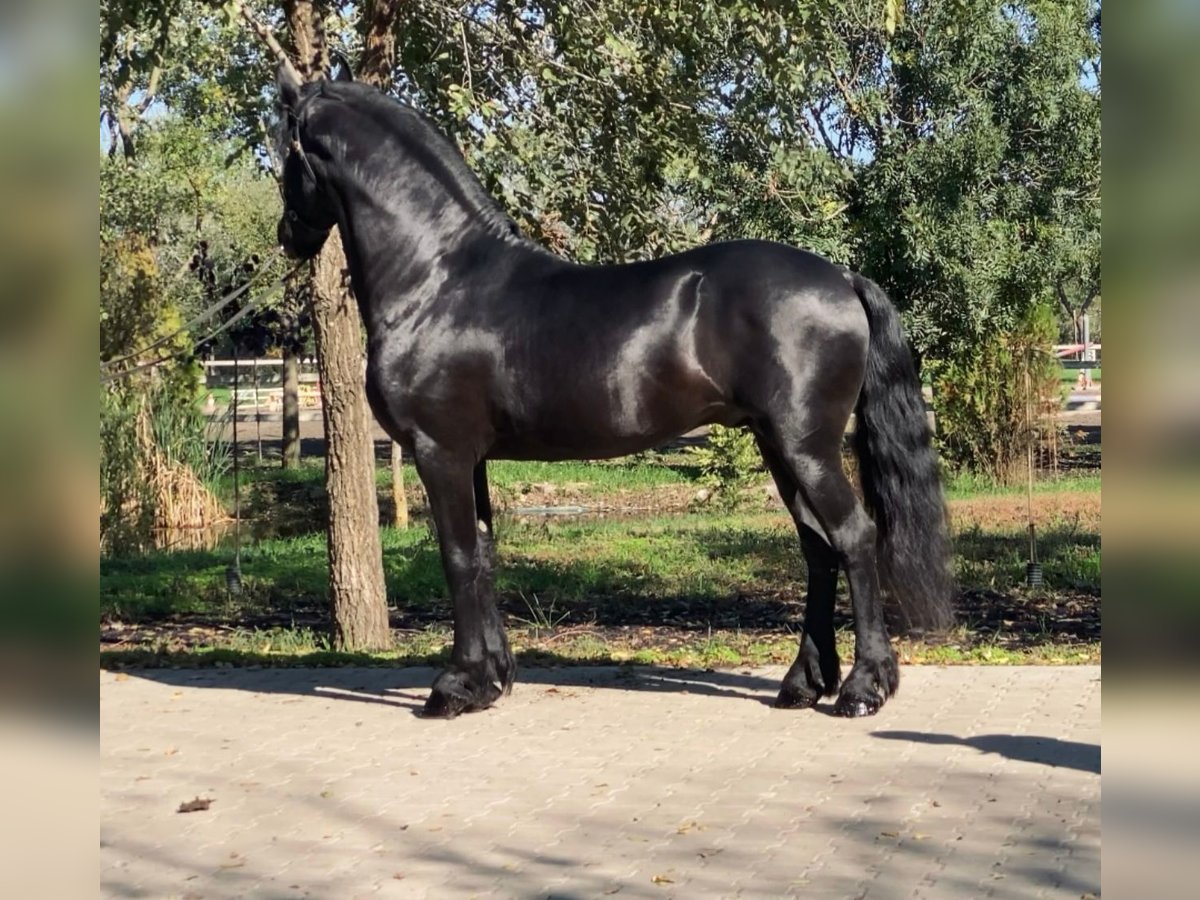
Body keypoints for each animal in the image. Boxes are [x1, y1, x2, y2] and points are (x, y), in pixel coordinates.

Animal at [276, 66, 950, 724]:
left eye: (285, 151)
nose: (288, 235)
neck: (438, 278)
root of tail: (842, 276)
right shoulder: (472, 458)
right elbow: (484, 553)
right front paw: (493, 679)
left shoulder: (438, 451)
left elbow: (458, 556)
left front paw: (455, 688)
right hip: (777, 446)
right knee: (818, 548)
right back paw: (803, 684)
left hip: (806, 447)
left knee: (854, 538)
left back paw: (863, 689)